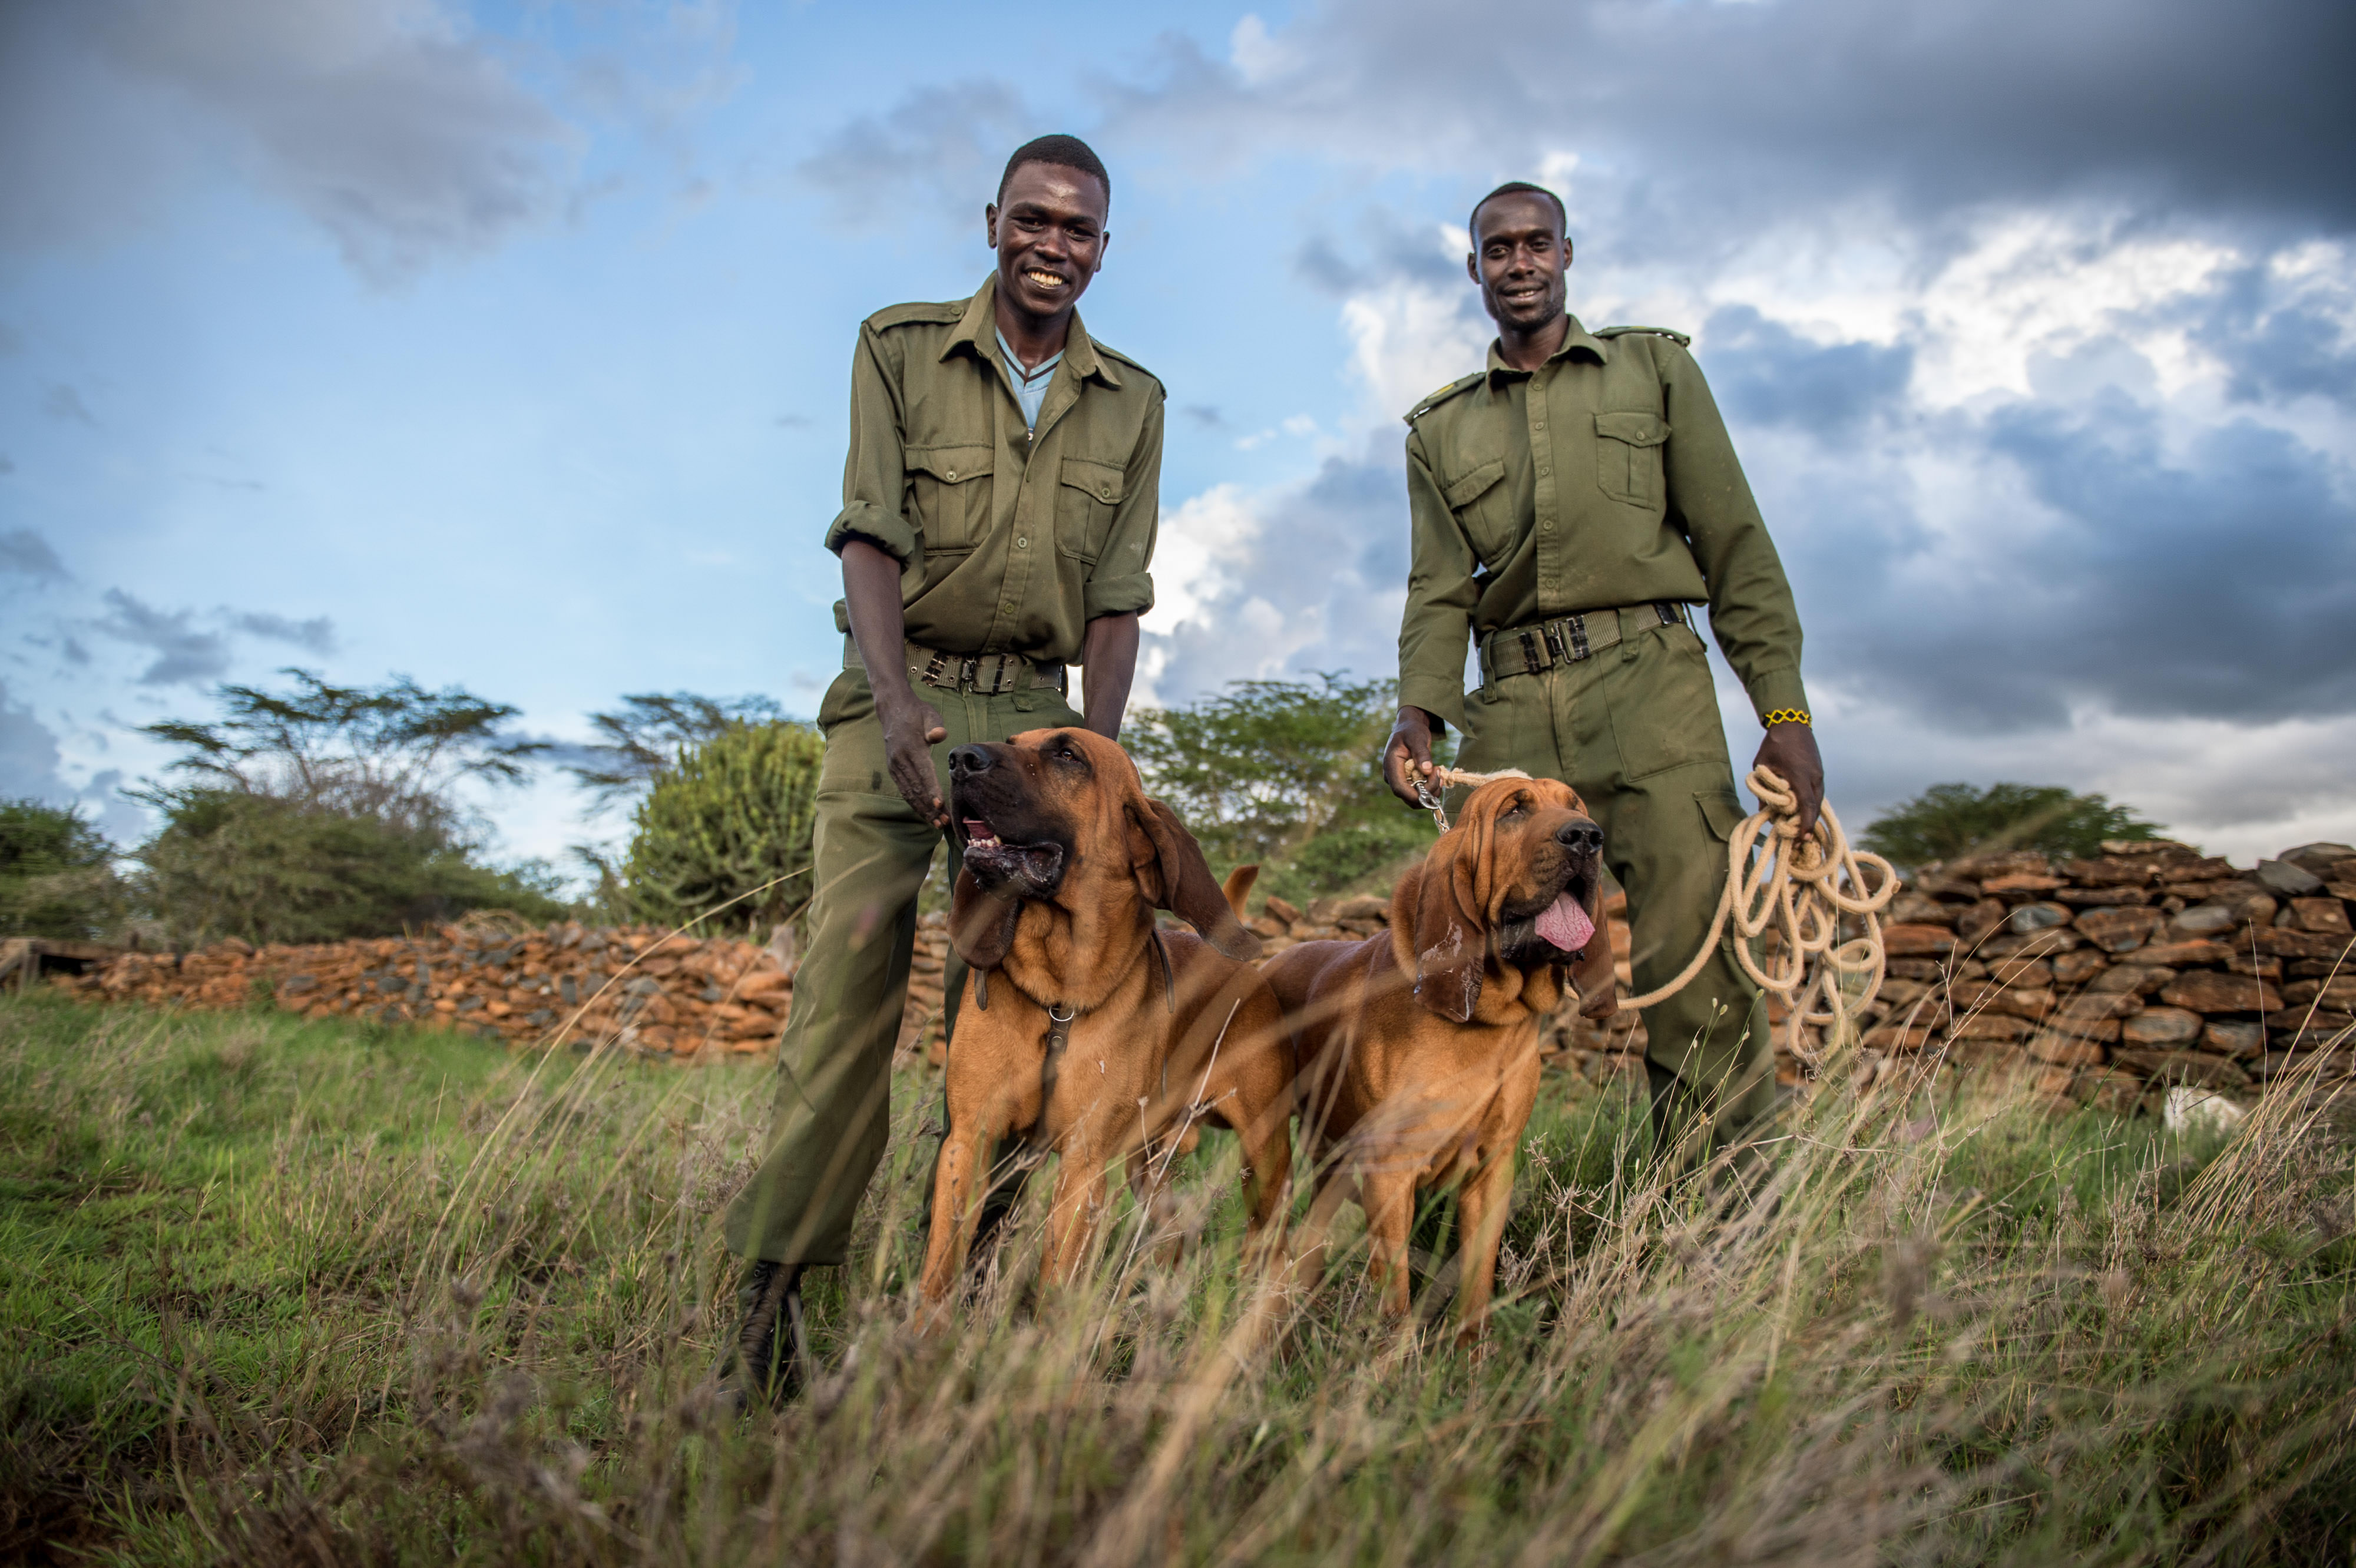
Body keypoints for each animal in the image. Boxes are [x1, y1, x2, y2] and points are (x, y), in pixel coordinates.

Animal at [914, 725, 1291, 1309]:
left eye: (1068, 755)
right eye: (1011, 741)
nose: (958, 759)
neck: (1057, 996)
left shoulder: (1084, 1168)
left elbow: (1055, 1286)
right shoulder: (969, 1142)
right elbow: (940, 1269)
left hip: (1266, 1156)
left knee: (1272, 1241)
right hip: (1151, 1166)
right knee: (1172, 1237)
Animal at [1263, 768, 1612, 1328]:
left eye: (1575, 805)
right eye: (1515, 811)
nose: (1587, 837)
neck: (1487, 1023)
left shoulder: (1493, 1170)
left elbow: (1476, 1281)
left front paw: (1472, 1348)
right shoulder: (1392, 1175)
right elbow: (1396, 1293)